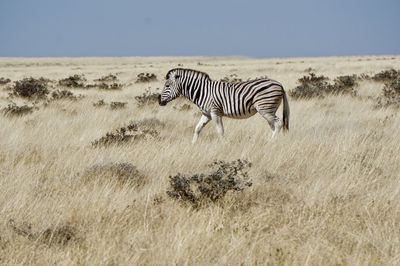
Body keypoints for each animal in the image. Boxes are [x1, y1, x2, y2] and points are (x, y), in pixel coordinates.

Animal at [158, 68, 290, 143]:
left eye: (167, 85)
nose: (159, 101)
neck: (202, 91)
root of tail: (280, 84)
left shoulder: (215, 112)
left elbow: (220, 131)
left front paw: (223, 145)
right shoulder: (206, 114)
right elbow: (197, 128)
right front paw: (193, 145)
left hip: (265, 109)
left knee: (279, 123)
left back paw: (271, 143)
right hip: (269, 110)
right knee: (274, 126)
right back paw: (273, 142)